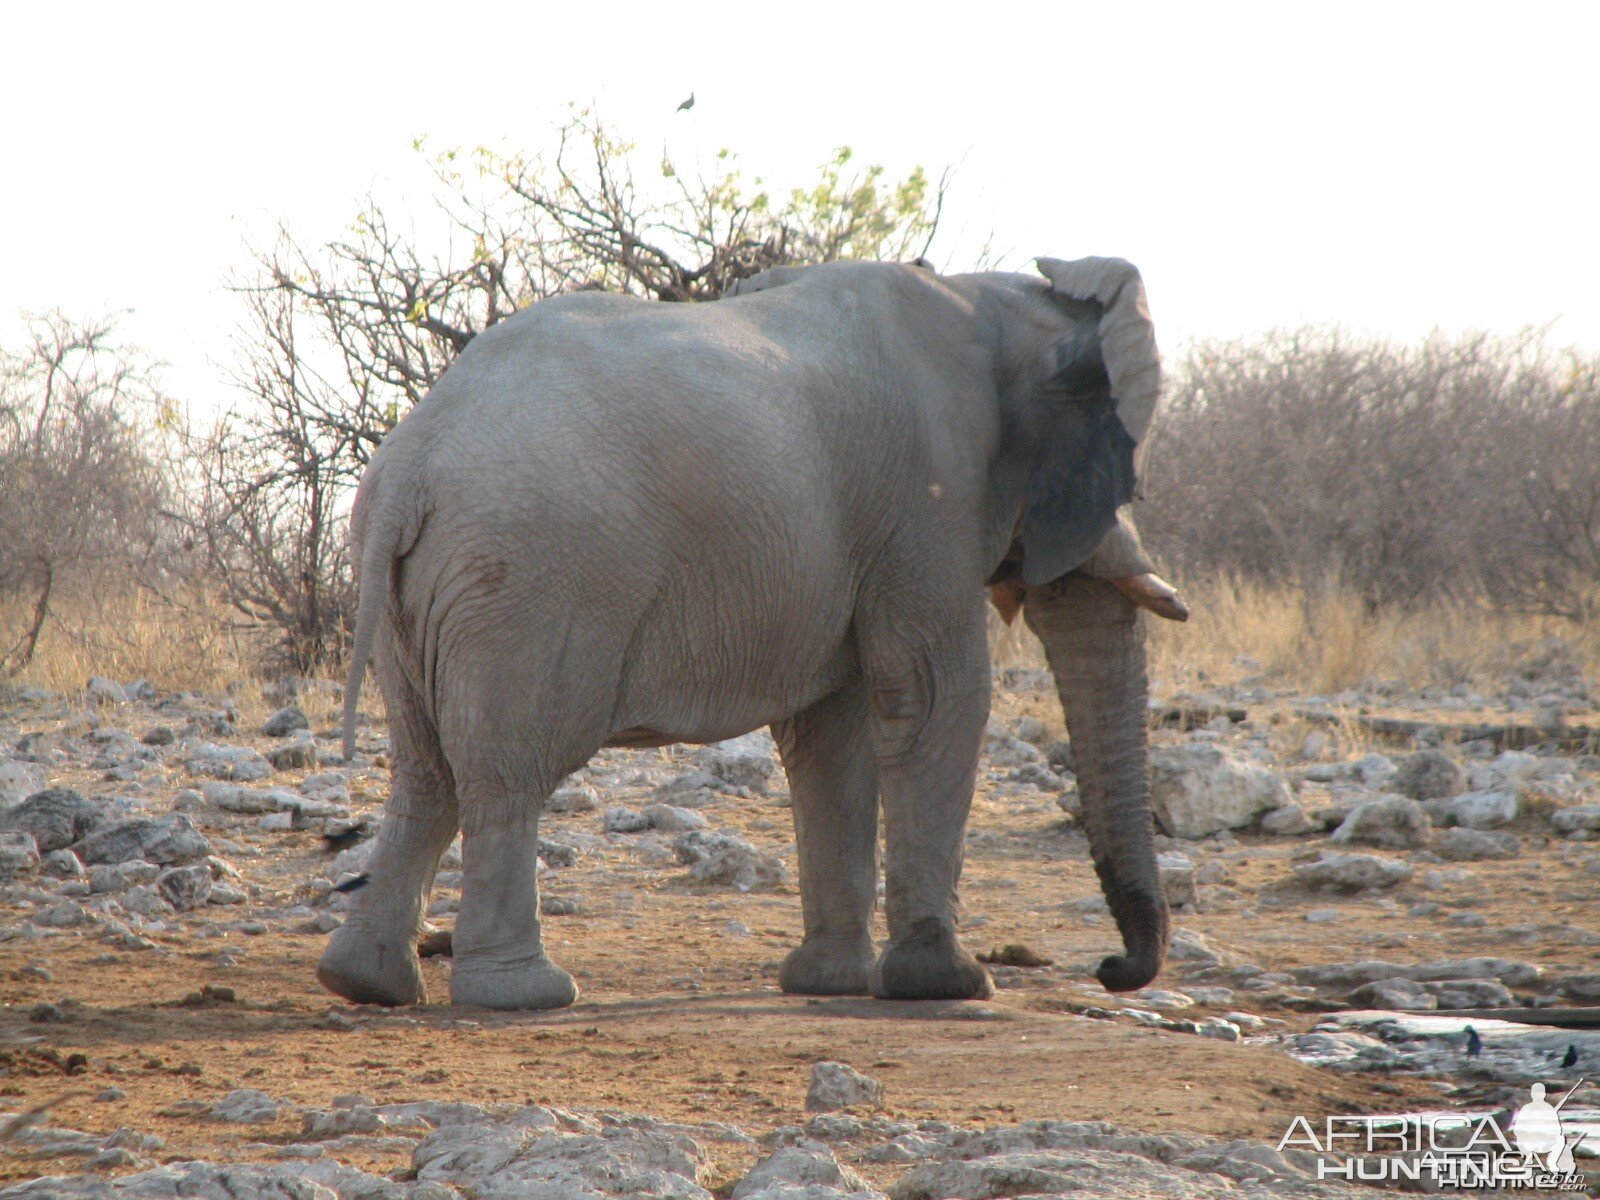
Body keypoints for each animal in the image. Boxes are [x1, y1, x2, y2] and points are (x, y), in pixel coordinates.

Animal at [315, 256, 1190, 1017]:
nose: (1112, 967)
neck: (1006, 299)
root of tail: (409, 467)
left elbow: (834, 732)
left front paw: (831, 983)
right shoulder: (930, 498)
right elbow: (936, 698)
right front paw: (948, 984)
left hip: (417, 586)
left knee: (428, 773)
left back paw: (367, 985)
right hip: (521, 580)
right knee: (505, 771)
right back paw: (527, 995)